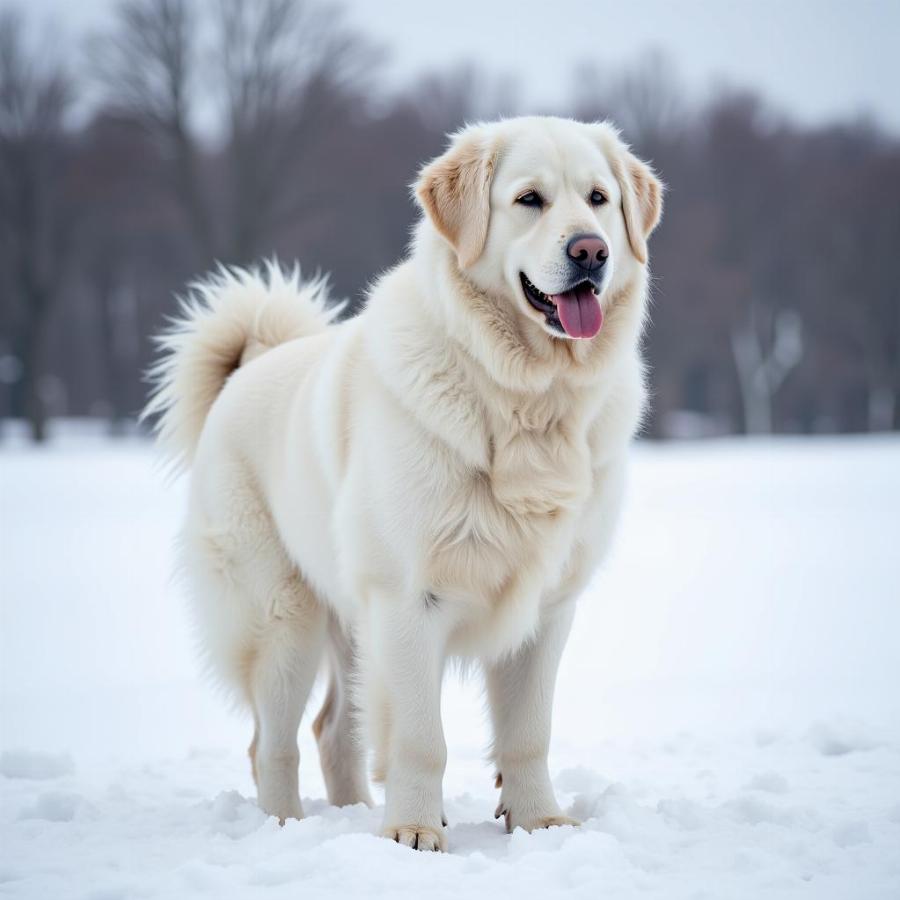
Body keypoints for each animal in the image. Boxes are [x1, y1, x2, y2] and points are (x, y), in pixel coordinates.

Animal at [146, 118, 660, 852]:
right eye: (529, 199)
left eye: (598, 199)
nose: (590, 250)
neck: (527, 400)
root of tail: (247, 369)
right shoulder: (409, 602)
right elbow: (422, 739)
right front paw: (415, 832)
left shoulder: (547, 609)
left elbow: (528, 734)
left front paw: (538, 822)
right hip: (284, 622)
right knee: (272, 743)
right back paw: (286, 826)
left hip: (348, 625)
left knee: (333, 731)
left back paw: (356, 812)